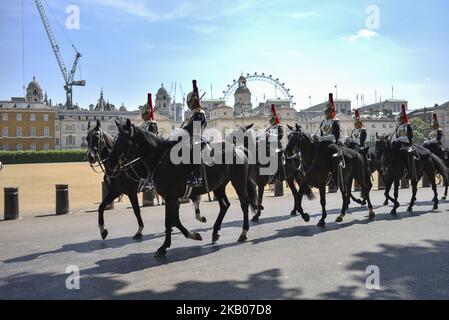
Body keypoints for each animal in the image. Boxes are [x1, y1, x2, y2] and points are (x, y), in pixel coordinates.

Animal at [107, 120, 258, 258]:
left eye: (125, 141)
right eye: (115, 139)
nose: (110, 164)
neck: (161, 160)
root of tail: (237, 149)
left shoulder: (170, 197)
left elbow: (169, 220)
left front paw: (163, 247)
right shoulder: (172, 197)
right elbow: (174, 219)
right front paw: (193, 235)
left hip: (238, 182)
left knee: (244, 204)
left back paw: (243, 233)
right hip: (219, 186)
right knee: (225, 205)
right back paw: (215, 233)